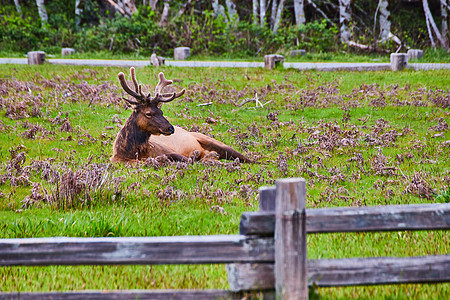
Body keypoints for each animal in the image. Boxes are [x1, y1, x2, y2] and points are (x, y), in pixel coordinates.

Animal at [110, 67, 251, 164]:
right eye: (148, 113)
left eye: (161, 112)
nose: (171, 128)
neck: (129, 152)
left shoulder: (169, 151)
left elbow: (188, 160)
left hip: (212, 140)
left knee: (244, 157)